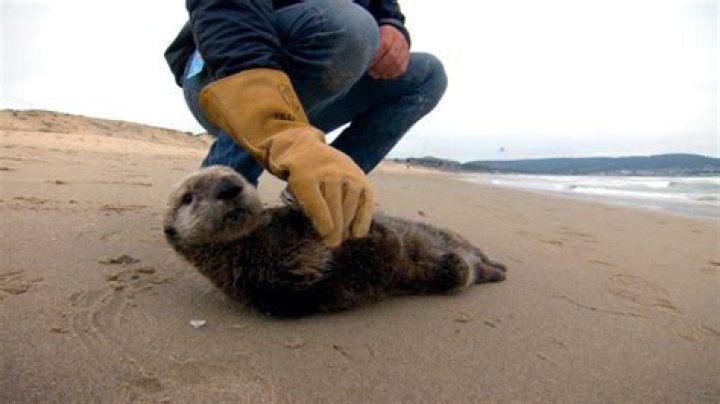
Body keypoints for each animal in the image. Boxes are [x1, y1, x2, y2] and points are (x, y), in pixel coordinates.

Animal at [163, 166, 506, 317]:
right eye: (187, 198)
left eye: (238, 176)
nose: (228, 186)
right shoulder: (283, 285)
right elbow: (369, 259)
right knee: (461, 271)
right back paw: (481, 269)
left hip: (451, 234)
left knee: (473, 254)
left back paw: (497, 266)